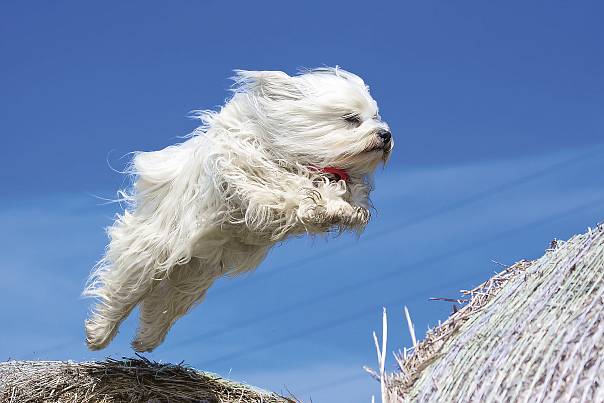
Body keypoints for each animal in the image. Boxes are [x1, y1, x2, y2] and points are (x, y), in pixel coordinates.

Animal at [84, 68, 392, 352]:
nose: (386, 135)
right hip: (153, 250)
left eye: (375, 117)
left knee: (164, 304)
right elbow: (287, 186)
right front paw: (324, 201)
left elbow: (344, 193)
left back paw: (145, 339)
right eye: (351, 119)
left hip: (192, 273)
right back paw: (99, 333)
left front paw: (347, 208)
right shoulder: (247, 169)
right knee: (125, 288)